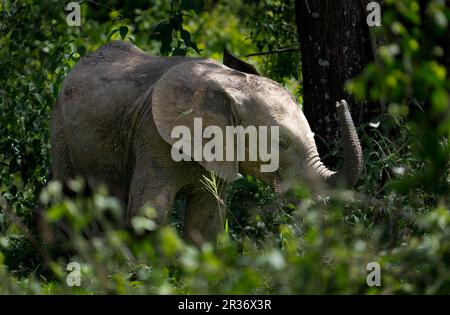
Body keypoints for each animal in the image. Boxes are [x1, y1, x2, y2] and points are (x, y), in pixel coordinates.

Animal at [51, 40, 364, 246]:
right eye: (281, 144)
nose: (340, 101)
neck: (232, 83)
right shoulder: (152, 135)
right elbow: (147, 215)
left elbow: (205, 221)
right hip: (61, 130)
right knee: (67, 199)